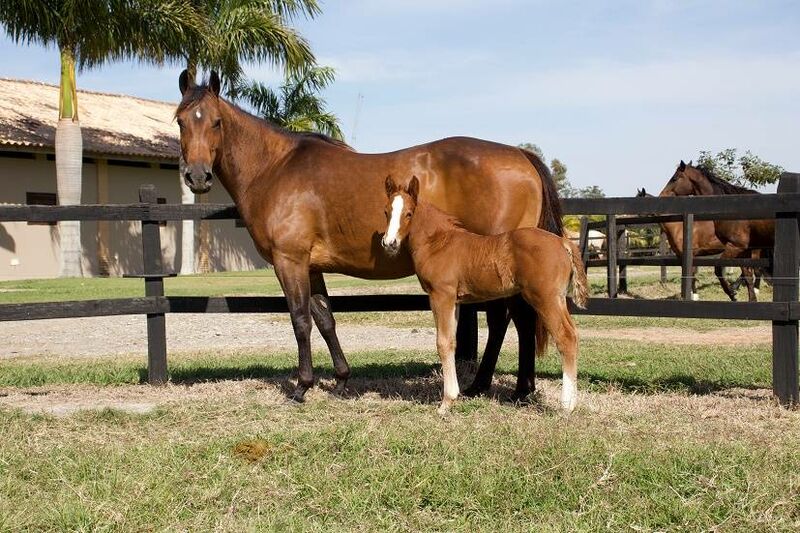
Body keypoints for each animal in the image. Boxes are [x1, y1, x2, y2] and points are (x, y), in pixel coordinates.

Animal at [177, 71, 564, 404]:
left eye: (216, 121)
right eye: (181, 120)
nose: (197, 177)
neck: (275, 169)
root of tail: (520, 155)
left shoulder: (289, 261)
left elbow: (300, 320)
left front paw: (302, 387)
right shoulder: (311, 266)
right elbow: (325, 319)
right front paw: (340, 381)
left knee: (512, 319)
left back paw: (506, 388)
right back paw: (498, 386)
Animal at [382, 177, 588, 414]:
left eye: (409, 213)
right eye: (386, 211)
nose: (389, 243)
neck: (438, 243)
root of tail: (562, 242)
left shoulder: (441, 295)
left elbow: (442, 343)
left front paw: (445, 404)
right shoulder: (455, 300)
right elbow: (451, 342)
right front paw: (453, 397)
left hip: (545, 298)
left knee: (565, 337)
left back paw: (566, 406)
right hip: (558, 298)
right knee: (573, 334)